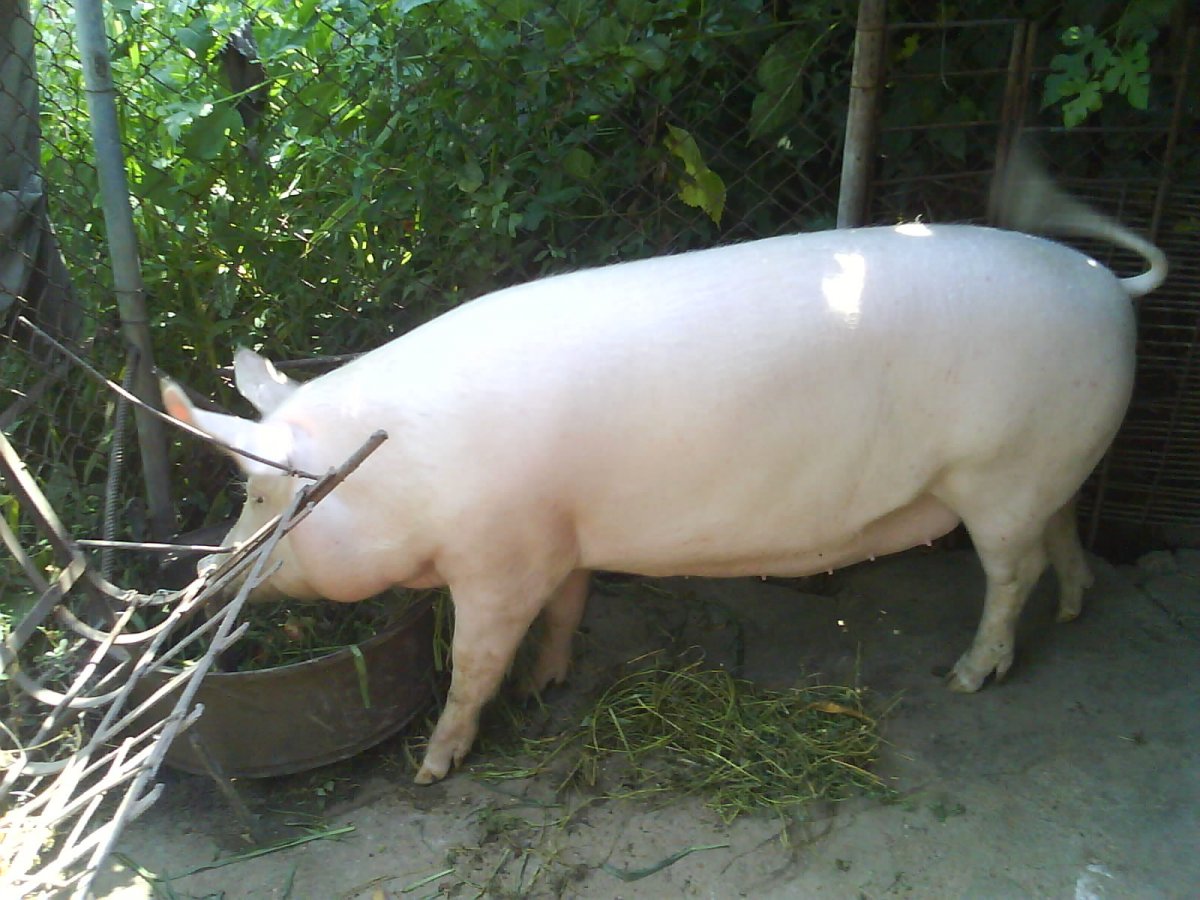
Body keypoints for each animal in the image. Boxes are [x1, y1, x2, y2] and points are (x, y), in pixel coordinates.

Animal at [161, 164, 1166, 784]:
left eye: (261, 493)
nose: (203, 570)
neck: (406, 472)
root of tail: (1108, 285)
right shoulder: (558, 536)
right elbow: (568, 609)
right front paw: (547, 684)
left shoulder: (498, 557)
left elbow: (476, 665)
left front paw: (433, 769)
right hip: (1050, 462)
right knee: (1061, 535)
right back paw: (1074, 611)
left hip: (999, 473)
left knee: (1010, 573)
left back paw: (966, 676)